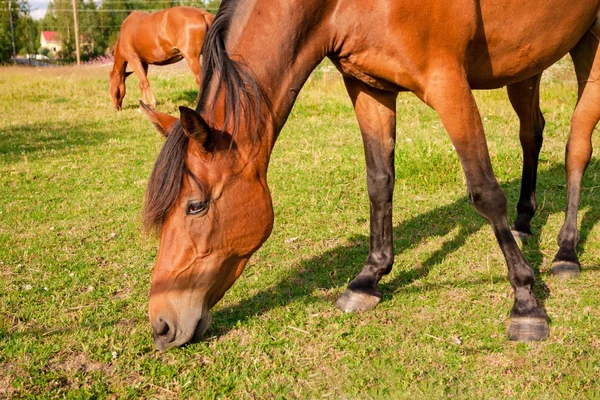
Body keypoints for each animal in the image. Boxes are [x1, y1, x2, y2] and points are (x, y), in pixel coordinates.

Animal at [138, 0, 600, 350]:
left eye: (195, 206)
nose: (161, 325)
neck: (338, 5)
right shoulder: (369, 87)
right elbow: (379, 182)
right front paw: (368, 279)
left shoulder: (447, 81)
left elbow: (484, 191)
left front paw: (526, 302)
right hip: (528, 61)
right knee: (532, 133)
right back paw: (524, 221)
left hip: (589, 47)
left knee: (577, 147)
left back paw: (566, 253)